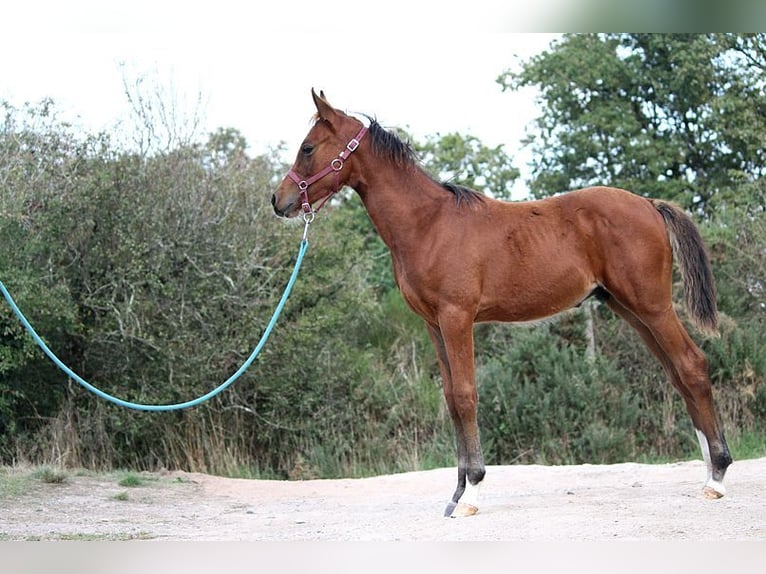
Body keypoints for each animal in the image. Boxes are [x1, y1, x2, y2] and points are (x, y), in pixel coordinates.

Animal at [272, 89, 736, 516]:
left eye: (308, 147)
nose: (279, 201)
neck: (427, 224)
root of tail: (650, 205)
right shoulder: (433, 324)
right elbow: (450, 400)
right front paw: (457, 491)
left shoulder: (457, 317)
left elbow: (465, 395)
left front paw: (472, 493)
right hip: (630, 309)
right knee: (678, 374)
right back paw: (708, 470)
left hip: (653, 306)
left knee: (693, 366)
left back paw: (717, 477)